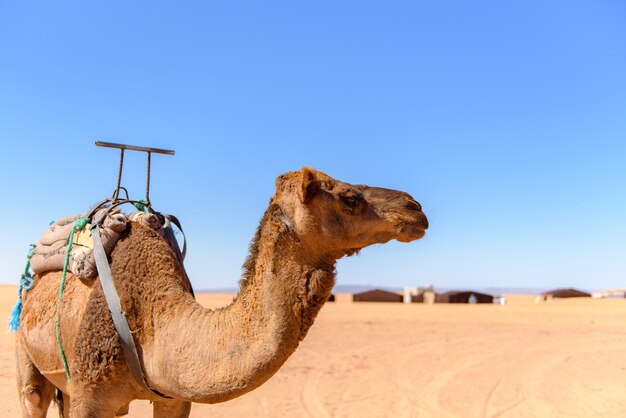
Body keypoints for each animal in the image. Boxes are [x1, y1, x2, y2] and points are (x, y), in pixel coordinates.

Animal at [14, 167, 426, 418]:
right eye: (349, 198)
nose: (415, 207)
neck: (149, 325)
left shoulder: (176, 400)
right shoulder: (90, 397)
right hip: (25, 350)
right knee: (32, 396)